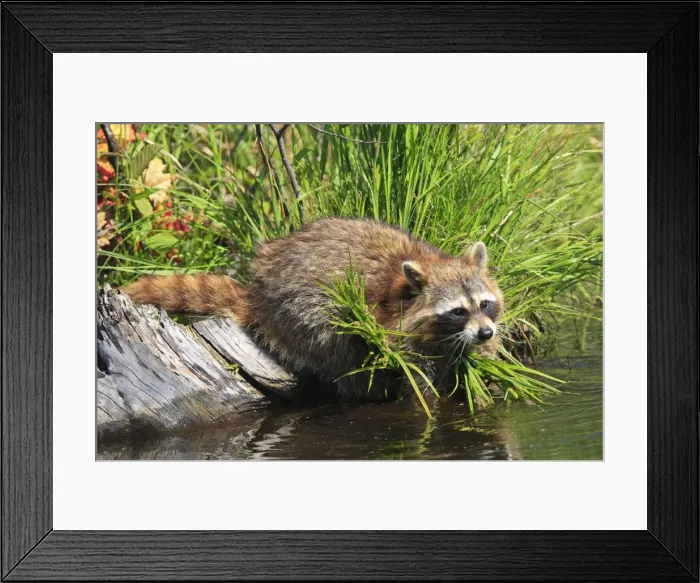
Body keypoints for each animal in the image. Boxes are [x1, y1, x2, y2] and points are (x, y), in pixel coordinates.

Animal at [122, 218, 504, 400]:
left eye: (484, 304)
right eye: (458, 311)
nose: (485, 333)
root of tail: (258, 293)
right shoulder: (399, 334)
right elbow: (418, 383)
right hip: (298, 312)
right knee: (337, 348)